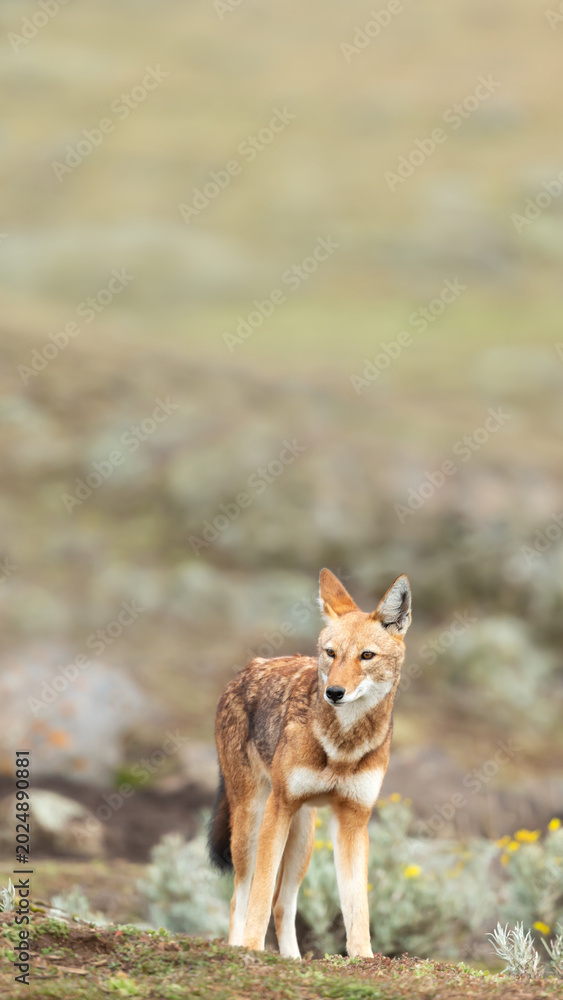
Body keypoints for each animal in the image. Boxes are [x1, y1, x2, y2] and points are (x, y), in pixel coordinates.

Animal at [208, 568, 411, 959]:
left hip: (303, 837)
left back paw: (293, 959)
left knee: (283, 904)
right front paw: (253, 948)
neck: (343, 746)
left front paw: (363, 956)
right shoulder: (279, 808)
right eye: (331, 653)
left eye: (366, 656)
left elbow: (356, 903)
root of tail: (247, 668)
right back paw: (239, 947)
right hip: (252, 821)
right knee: (240, 896)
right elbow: (259, 895)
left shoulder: (353, 819)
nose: (334, 692)